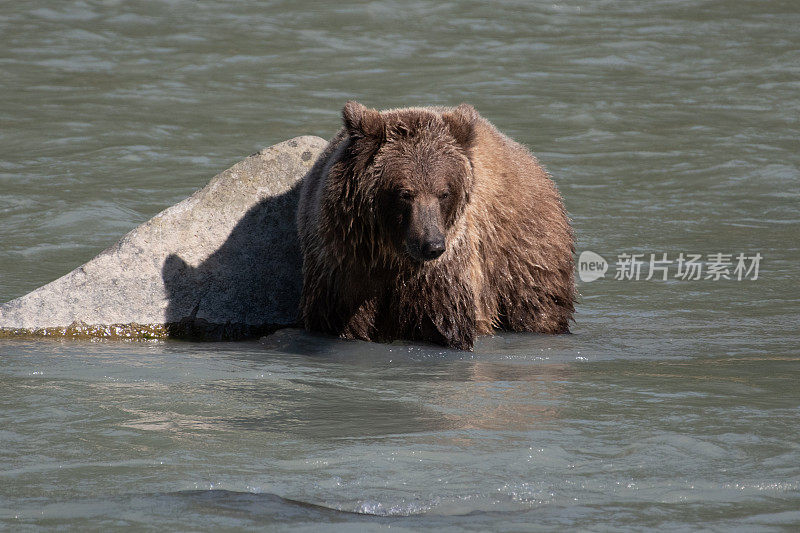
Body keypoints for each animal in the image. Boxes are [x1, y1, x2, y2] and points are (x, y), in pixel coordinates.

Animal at [296, 102, 572, 352]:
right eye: (405, 193)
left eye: (444, 193)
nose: (432, 245)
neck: (391, 252)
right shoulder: (345, 260)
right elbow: (341, 321)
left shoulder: (442, 271)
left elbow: (442, 321)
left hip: (521, 250)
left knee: (536, 302)